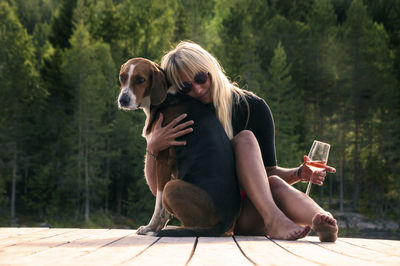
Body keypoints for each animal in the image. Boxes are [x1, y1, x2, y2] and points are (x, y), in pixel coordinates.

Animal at [116, 58, 241, 237]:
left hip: (172, 187)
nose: (123, 100)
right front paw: (156, 226)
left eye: (140, 80)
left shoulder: (164, 159)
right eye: (122, 77)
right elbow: (164, 210)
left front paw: (151, 227)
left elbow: (159, 203)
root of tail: (225, 222)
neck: (167, 95)